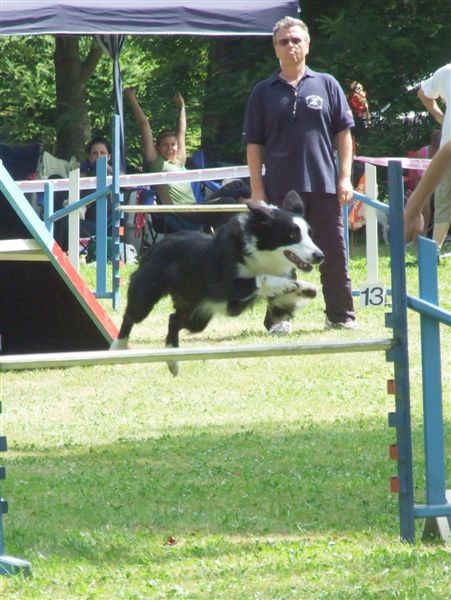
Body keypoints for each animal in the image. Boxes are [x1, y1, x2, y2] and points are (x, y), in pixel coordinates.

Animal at [112, 190, 324, 372]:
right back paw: (118, 347)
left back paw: (172, 360)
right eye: (292, 235)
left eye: (310, 234)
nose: (319, 256)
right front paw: (288, 284)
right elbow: (260, 279)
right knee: (130, 317)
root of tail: (156, 246)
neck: (261, 253)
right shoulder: (227, 287)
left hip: (199, 316)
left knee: (173, 320)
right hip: (145, 296)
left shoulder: (276, 299)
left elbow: (283, 293)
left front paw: (306, 288)